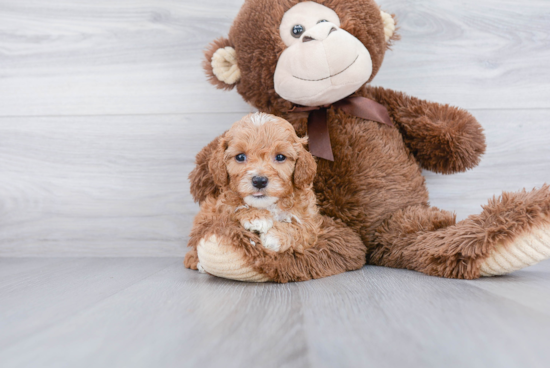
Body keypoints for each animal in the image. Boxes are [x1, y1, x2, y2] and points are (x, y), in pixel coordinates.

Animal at [188, 112, 322, 268]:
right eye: (240, 156)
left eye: (280, 157)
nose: (259, 181)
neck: (268, 205)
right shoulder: (216, 209)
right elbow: (232, 205)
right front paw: (256, 217)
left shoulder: (309, 222)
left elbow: (300, 229)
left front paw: (275, 237)